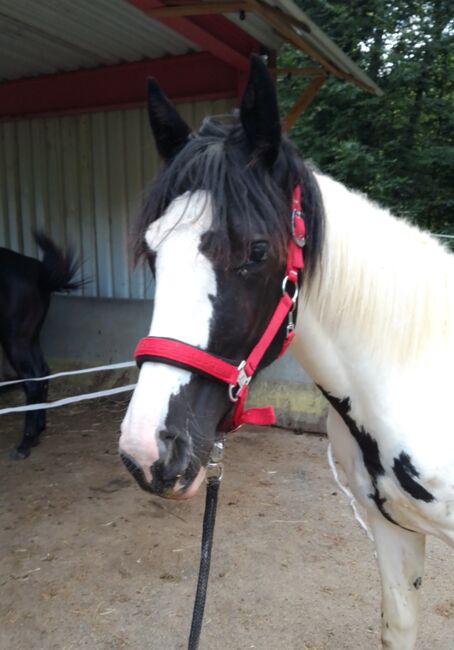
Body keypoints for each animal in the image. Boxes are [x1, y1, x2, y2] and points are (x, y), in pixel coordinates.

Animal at [0, 230, 81, 458]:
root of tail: (38, 272)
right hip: (31, 336)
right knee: (42, 372)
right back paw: (38, 430)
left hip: (15, 338)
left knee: (31, 380)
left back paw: (25, 443)